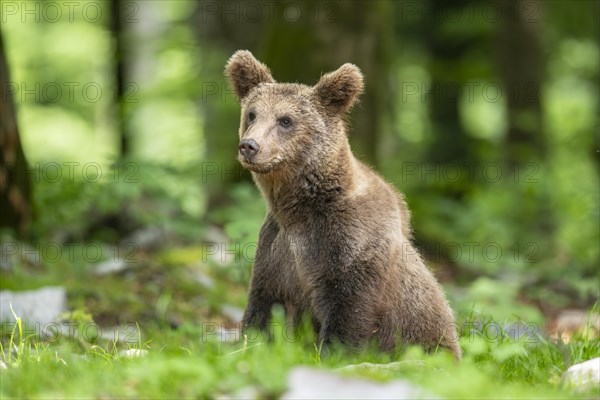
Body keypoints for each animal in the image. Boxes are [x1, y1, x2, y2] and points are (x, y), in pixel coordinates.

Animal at [226, 50, 464, 360]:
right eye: (252, 113)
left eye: (285, 120)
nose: (249, 146)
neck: (299, 208)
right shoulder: (276, 248)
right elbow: (261, 307)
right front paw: (245, 346)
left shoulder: (349, 245)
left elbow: (348, 313)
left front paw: (333, 354)